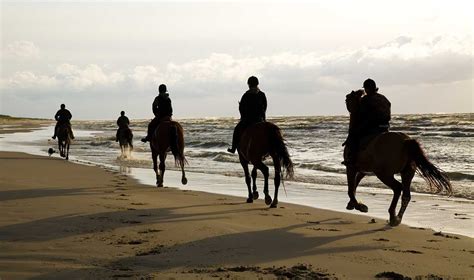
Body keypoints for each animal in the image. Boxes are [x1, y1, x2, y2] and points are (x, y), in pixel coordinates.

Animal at [342, 89, 450, 225]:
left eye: (347, 99)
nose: (346, 100)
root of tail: (404, 141)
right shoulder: (362, 170)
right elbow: (355, 185)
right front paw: (352, 204)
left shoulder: (351, 168)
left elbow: (351, 189)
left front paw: (359, 206)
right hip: (407, 172)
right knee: (406, 195)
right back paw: (397, 217)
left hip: (384, 174)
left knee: (398, 188)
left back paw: (393, 215)